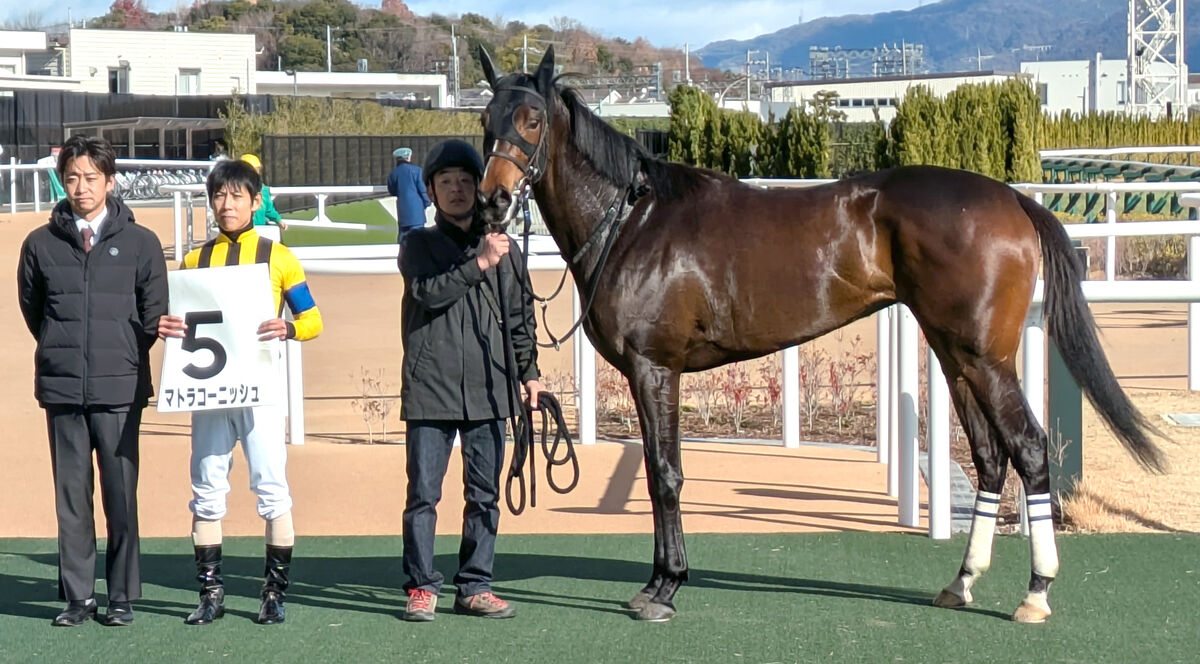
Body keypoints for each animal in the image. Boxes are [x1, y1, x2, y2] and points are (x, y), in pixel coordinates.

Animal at [476, 46, 1165, 623]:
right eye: (487, 118)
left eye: (531, 119)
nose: (493, 203)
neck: (633, 219)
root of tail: (1014, 201)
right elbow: (657, 471)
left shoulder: (655, 368)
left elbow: (664, 474)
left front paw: (663, 587)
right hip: (955, 354)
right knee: (992, 459)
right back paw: (962, 582)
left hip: (987, 358)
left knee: (1029, 449)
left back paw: (1036, 593)